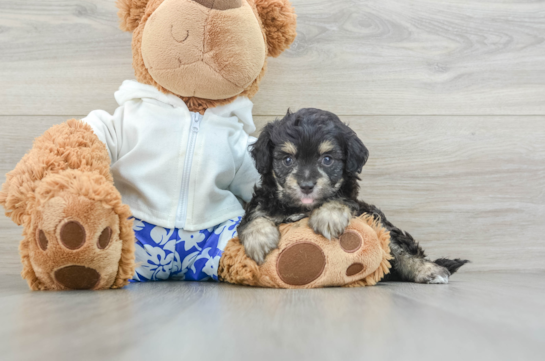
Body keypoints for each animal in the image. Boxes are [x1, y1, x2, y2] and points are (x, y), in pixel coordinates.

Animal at [238, 108, 468, 282]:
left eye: (327, 159)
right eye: (287, 160)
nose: (306, 185)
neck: (301, 207)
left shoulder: (357, 205)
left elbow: (340, 199)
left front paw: (328, 217)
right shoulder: (262, 203)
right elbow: (254, 217)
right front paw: (259, 240)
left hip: (380, 222)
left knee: (400, 249)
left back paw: (429, 270)